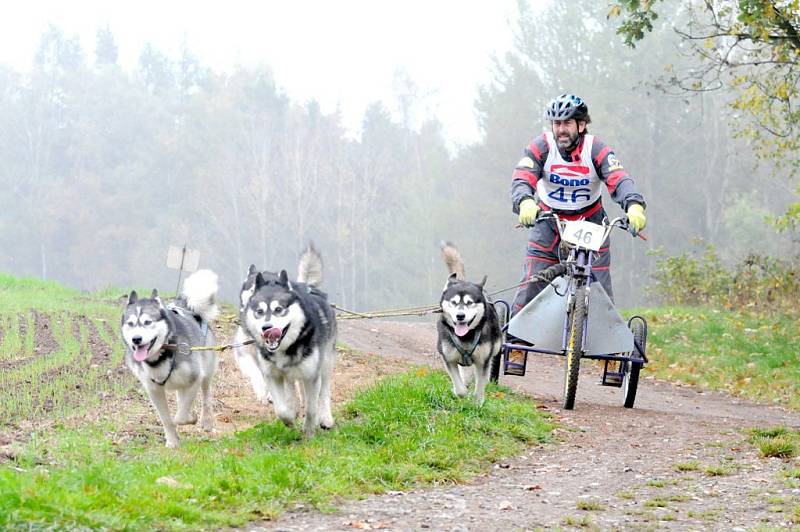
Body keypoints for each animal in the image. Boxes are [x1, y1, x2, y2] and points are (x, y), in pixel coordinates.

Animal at [120, 270, 219, 448]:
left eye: (147, 322)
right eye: (130, 324)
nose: (136, 339)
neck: (162, 355)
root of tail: (186, 306)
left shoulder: (195, 377)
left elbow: (180, 416)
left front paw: (190, 418)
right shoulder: (154, 390)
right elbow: (166, 418)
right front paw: (173, 441)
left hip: (206, 372)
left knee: (206, 396)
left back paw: (206, 421)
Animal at [238, 245, 338, 436]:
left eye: (279, 309)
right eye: (259, 311)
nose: (267, 328)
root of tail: (309, 287)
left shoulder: (312, 374)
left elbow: (312, 408)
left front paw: (309, 430)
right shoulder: (270, 373)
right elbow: (281, 409)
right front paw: (290, 418)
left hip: (326, 362)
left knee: (323, 392)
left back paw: (325, 418)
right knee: (292, 389)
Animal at [438, 243, 500, 406]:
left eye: (470, 302)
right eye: (453, 302)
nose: (460, 316)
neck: (466, 337)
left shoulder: (483, 360)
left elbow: (480, 385)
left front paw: (477, 403)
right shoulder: (448, 358)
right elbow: (460, 388)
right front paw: (460, 392)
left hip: (495, 348)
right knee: (465, 372)